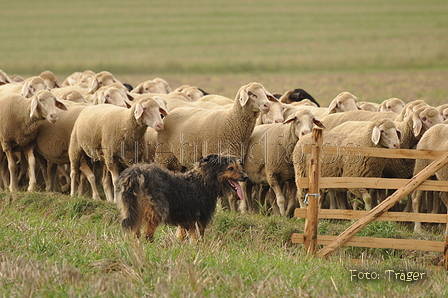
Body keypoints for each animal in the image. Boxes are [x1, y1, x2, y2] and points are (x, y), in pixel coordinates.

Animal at [114, 155, 248, 241]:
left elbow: (181, 237)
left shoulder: (186, 221)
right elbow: (198, 240)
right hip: (157, 211)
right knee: (148, 235)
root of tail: (136, 172)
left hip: (133, 210)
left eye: (238, 167)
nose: (246, 177)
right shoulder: (200, 220)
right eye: (230, 168)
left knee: (135, 233)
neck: (204, 181)